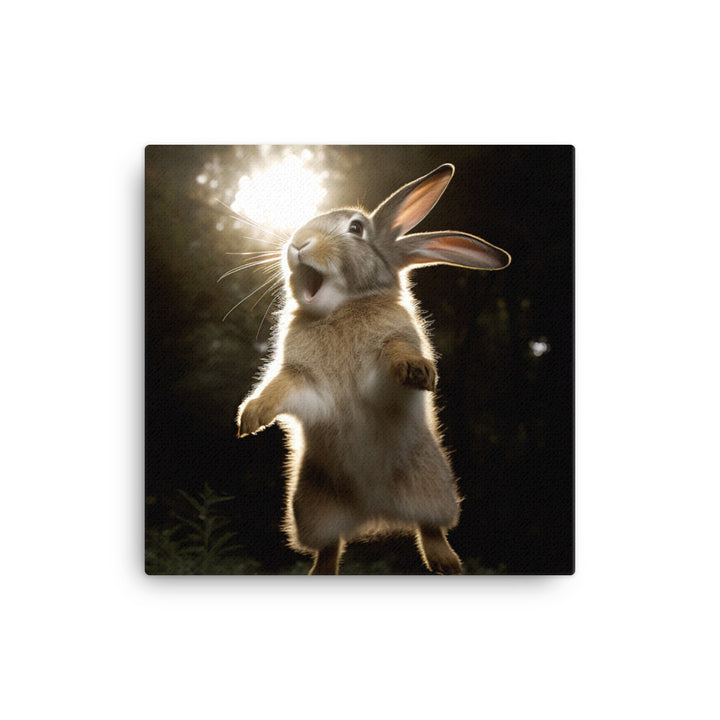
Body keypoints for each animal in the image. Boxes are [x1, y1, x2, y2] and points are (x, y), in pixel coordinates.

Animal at [236, 163, 511, 574]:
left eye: (355, 228)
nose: (298, 243)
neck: (342, 307)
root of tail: (375, 514)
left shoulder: (387, 357)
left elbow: (396, 354)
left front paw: (417, 371)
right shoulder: (303, 381)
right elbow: (279, 388)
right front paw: (251, 417)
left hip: (433, 489)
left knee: (430, 528)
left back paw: (446, 563)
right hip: (313, 508)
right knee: (330, 546)